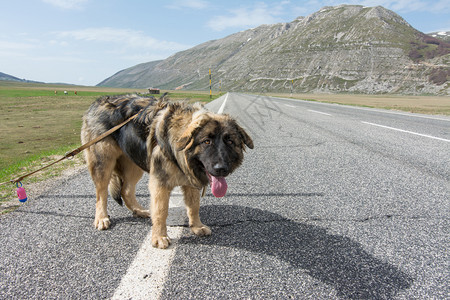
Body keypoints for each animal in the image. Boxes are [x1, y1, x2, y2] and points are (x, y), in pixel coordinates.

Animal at [81, 94, 253, 248]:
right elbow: (161, 211)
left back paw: (139, 210)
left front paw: (197, 226)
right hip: (104, 163)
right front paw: (159, 237)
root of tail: (96, 103)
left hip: (134, 164)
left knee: (126, 190)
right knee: (101, 193)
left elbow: (194, 206)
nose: (221, 169)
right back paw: (102, 218)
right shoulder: (160, 184)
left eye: (230, 141)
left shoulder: (190, 183)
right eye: (206, 142)